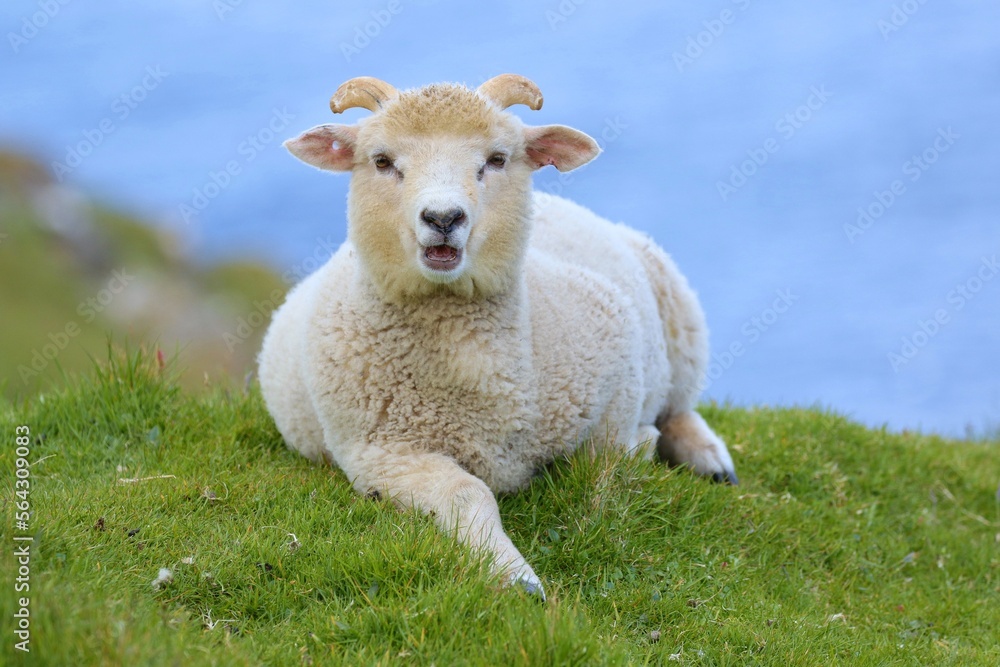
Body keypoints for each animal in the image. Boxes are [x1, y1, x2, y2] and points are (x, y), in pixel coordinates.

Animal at [260, 73, 736, 600]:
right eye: (382, 161)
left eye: (497, 159)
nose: (443, 218)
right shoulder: (381, 455)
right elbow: (468, 491)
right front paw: (512, 573)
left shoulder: (619, 374)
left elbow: (610, 455)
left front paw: (640, 447)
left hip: (679, 319)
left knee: (681, 408)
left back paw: (710, 459)